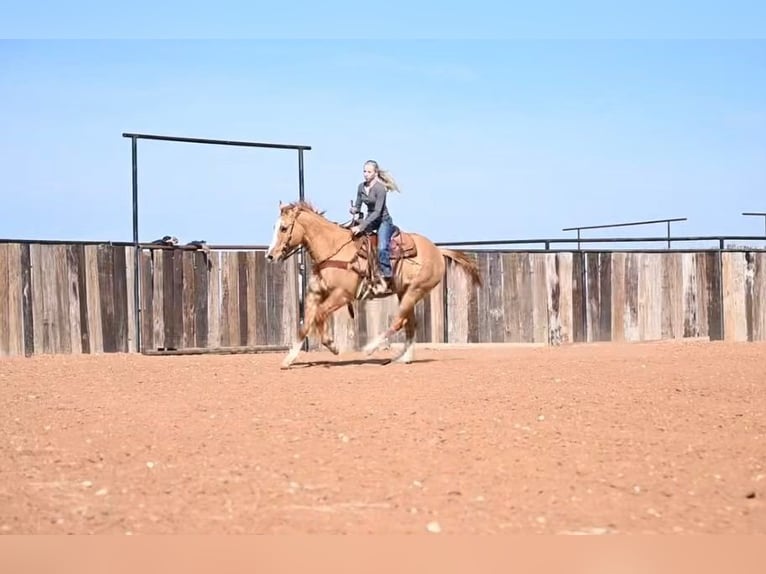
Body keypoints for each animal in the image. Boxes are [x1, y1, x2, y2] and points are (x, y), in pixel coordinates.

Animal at [264, 200, 480, 368]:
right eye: (274, 227)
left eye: (284, 228)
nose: (270, 255)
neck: (333, 250)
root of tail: (437, 251)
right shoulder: (313, 294)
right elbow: (305, 325)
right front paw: (288, 359)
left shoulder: (342, 294)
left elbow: (319, 316)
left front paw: (333, 346)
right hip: (405, 292)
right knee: (410, 324)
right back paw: (404, 358)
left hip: (416, 290)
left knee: (398, 321)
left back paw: (370, 349)